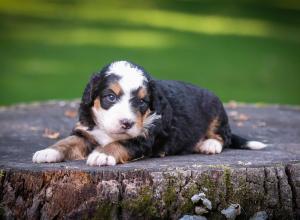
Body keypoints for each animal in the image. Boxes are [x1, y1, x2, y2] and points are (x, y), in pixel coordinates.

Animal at [33, 61, 268, 166]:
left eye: (142, 101)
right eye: (110, 97)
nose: (126, 123)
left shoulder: (144, 138)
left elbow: (120, 143)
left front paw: (102, 154)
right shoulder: (87, 131)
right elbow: (67, 142)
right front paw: (47, 152)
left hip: (216, 110)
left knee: (224, 137)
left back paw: (208, 144)